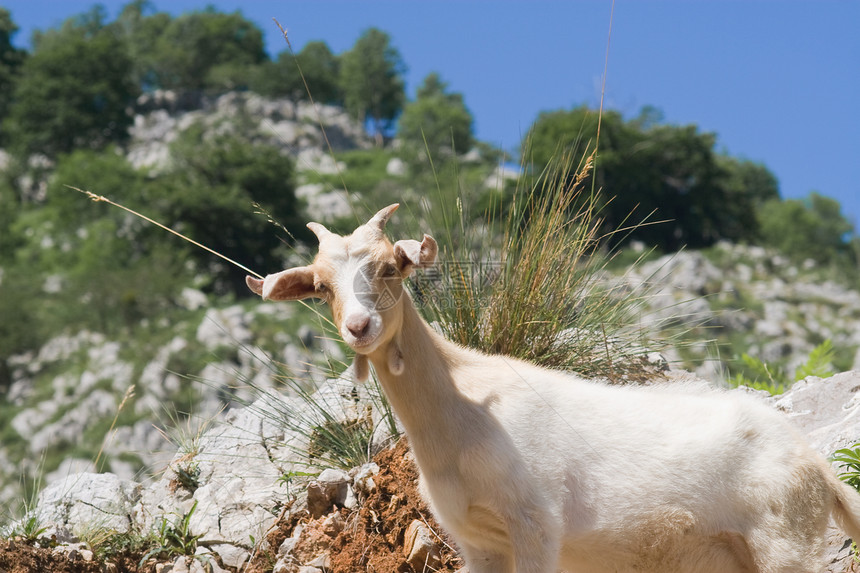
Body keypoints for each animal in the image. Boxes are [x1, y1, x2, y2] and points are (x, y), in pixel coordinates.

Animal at [245, 206, 860, 572]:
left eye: (392, 268)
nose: (359, 327)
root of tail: (818, 468)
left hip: (784, 543)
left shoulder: (537, 525)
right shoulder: (477, 541)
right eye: (322, 287)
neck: (461, 407)